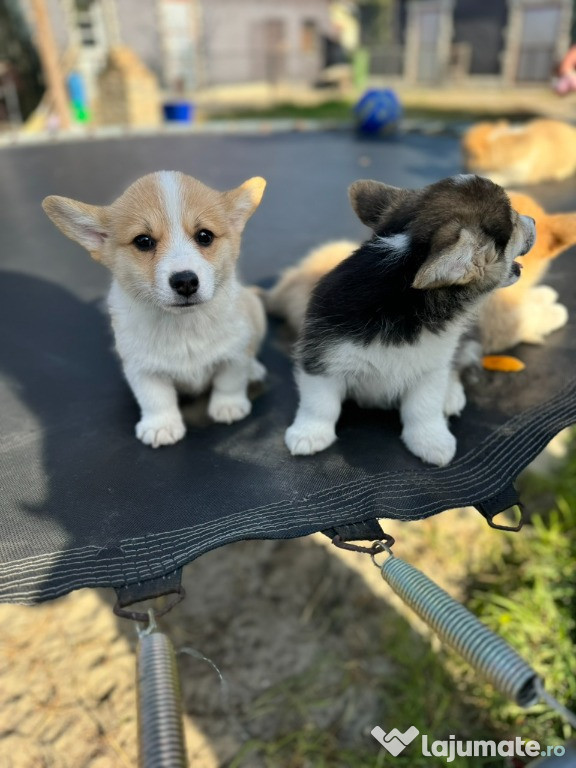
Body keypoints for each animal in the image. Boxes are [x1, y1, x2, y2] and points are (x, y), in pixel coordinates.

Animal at [43, 171, 268, 448]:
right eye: (143, 241)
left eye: (204, 236)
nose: (185, 281)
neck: (182, 324)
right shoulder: (141, 367)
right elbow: (155, 398)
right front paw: (161, 426)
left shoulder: (234, 351)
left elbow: (230, 379)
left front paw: (228, 406)